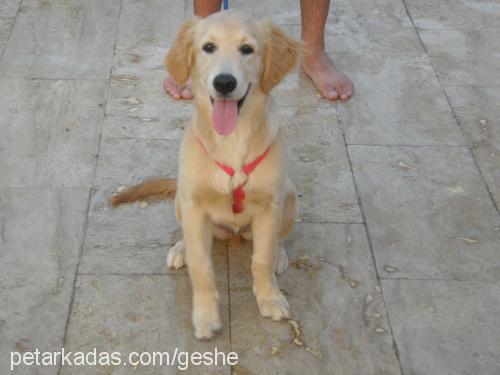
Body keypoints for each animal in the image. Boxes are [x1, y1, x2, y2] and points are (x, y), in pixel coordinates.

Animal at [111, 11, 300, 340]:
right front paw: (206, 316)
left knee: (278, 238)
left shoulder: (269, 206)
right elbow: (201, 266)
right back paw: (181, 248)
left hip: (289, 198)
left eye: (247, 49)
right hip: (180, 198)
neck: (231, 139)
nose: (224, 82)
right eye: (208, 47)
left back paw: (280, 254)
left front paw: (270, 298)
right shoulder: (195, 205)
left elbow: (261, 259)